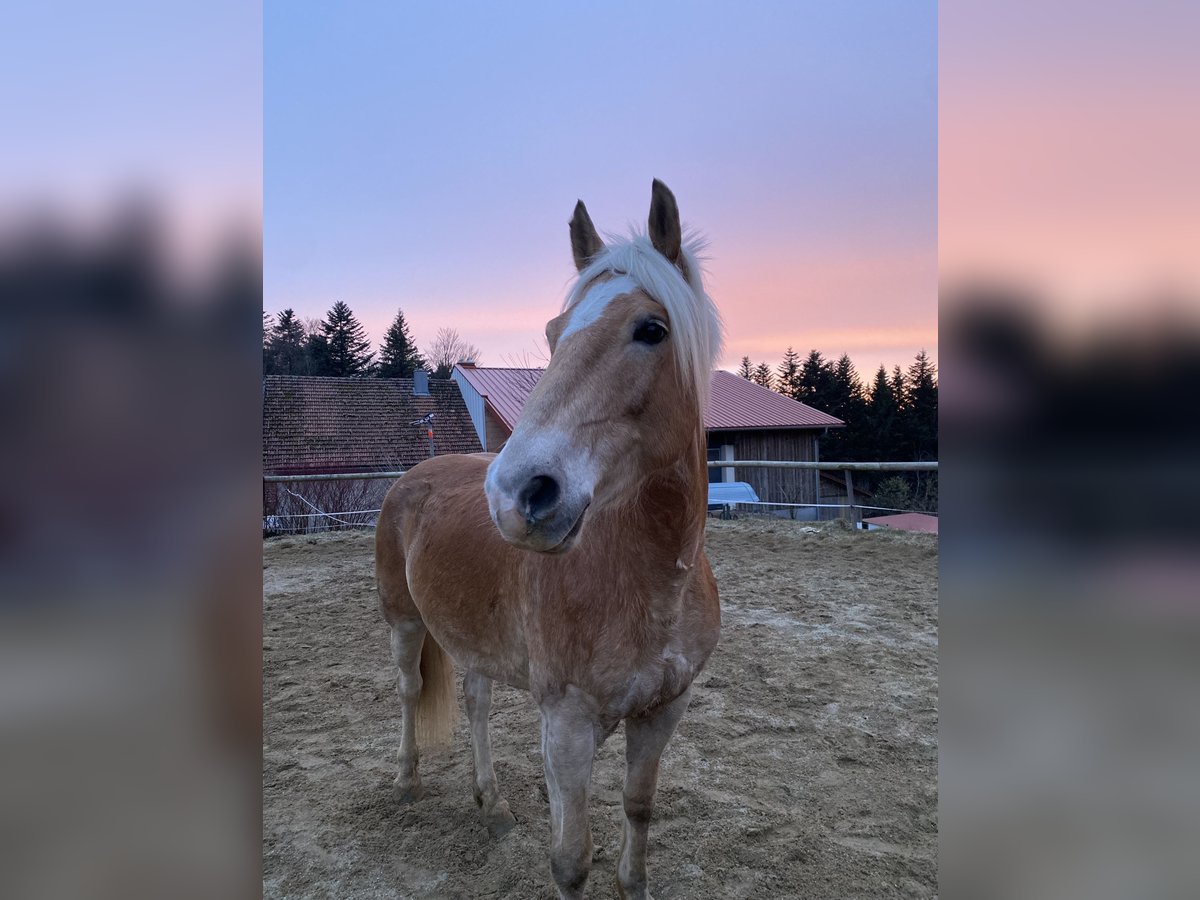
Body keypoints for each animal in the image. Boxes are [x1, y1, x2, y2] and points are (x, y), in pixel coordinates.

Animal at [376, 181, 720, 900]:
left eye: (651, 329)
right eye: (553, 334)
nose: (516, 494)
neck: (648, 580)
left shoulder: (664, 711)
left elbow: (639, 808)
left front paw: (635, 882)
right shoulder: (565, 725)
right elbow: (570, 861)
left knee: (476, 704)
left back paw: (492, 803)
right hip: (403, 623)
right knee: (409, 692)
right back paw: (405, 781)